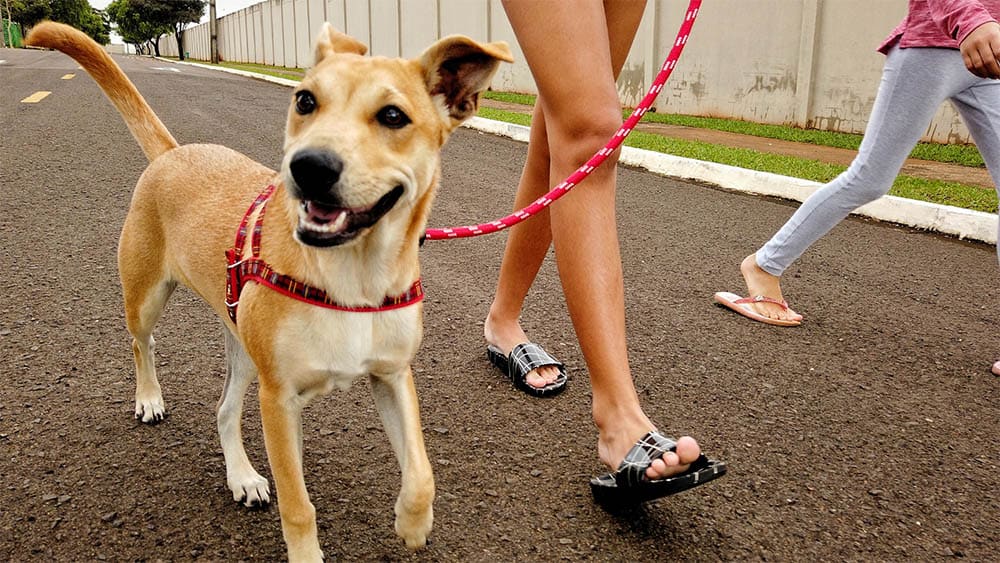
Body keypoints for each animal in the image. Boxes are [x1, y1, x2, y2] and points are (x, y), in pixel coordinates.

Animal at [27, 20, 512, 560]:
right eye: (305, 100)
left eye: (393, 116)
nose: (309, 166)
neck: (354, 277)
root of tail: (174, 153)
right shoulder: (278, 399)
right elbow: (297, 504)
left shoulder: (392, 376)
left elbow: (422, 471)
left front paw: (413, 522)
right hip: (148, 297)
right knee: (142, 342)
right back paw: (149, 398)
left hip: (241, 345)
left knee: (223, 410)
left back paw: (241, 477)